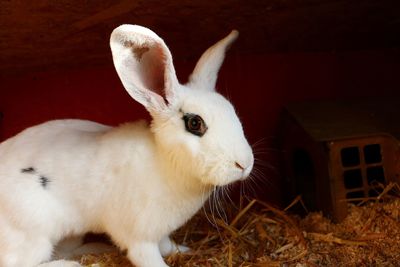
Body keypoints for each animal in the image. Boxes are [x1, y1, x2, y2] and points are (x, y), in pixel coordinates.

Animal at [0, 25, 252, 267]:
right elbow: (149, 258)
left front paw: (185, 250)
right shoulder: (139, 237)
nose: (245, 164)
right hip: (33, 232)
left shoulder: (160, 232)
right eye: (195, 123)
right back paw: (76, 265)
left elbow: (167, 246)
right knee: (18, 262)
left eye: (231, 110)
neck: (165, 162)